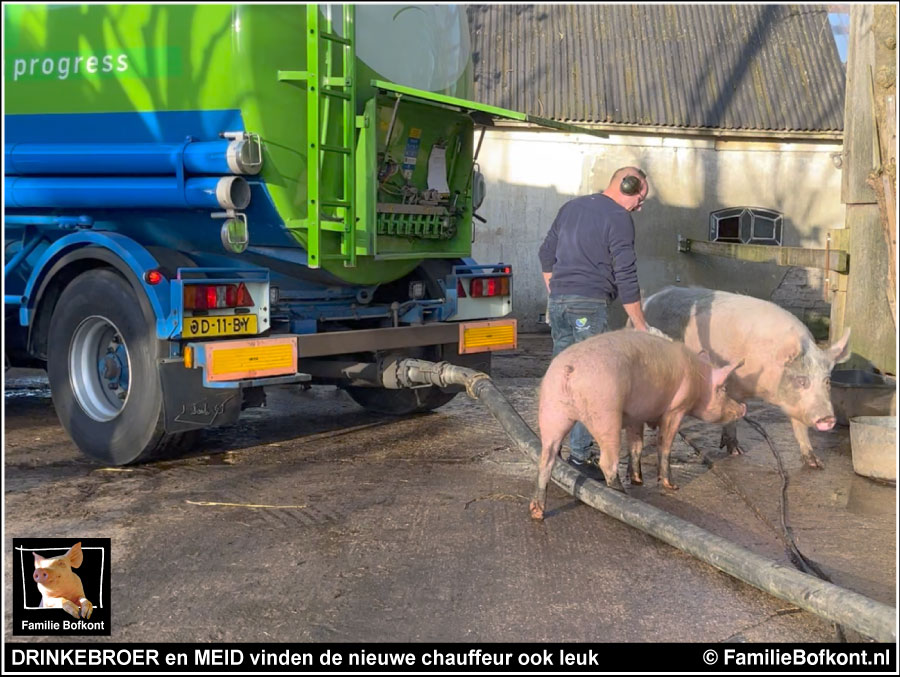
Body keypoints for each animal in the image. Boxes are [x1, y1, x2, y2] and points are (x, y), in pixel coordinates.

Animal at [528, 328, 744, 516]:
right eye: (724, 389)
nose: (742, 407)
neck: (698, 380)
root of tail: (570, 370)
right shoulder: (676, 410)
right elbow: (664, 445)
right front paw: (672, 486)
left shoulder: (635, 416)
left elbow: (636, 446)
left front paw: (638, 480)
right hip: (605, 414)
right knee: (607, 462)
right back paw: (621, 495)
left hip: (551, 409)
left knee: (546, 457)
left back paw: (537, 512)